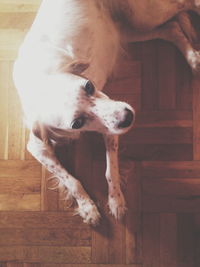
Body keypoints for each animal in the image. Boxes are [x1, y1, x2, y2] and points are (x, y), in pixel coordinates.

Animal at [13, 0, 200, 226]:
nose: (128, 116)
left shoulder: (111, 123)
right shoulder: (37, 146)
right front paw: (87, 207)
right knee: (172, 28)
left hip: (142, 16)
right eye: (76, 122)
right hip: (130, 29)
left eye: (89, 86)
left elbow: (110, 170)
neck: (41, 82)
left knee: (187, 5)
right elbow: (71, 179)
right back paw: (193, 58)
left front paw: (115, 200)